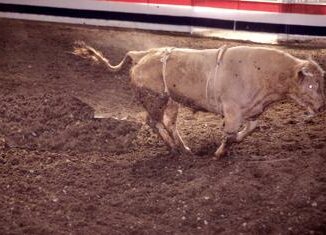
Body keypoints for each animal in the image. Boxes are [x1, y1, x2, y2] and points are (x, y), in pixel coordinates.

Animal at [72, 42, 324, 158]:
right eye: (312, 84)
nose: (321, 106)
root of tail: (142, 54)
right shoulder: (233, 112)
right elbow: (229, 134)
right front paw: (219, 153)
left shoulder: (253, 111)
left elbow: (249, 129)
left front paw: (234, 143)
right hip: (155, 100)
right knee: (154, 122)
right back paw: (173, 147)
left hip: (172, 102)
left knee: (169, 123)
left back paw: (184, 148)